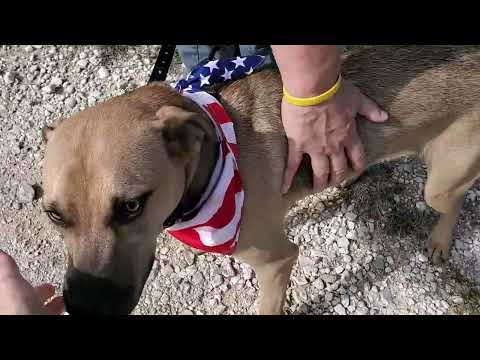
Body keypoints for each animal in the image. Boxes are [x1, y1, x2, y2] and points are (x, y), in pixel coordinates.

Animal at [40, 46, 480, 314]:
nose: (83, 308)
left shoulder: (275, 260)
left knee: (454, 199)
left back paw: (440, 240)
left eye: (132, 206)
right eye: (54, 216)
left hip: (440, 184)